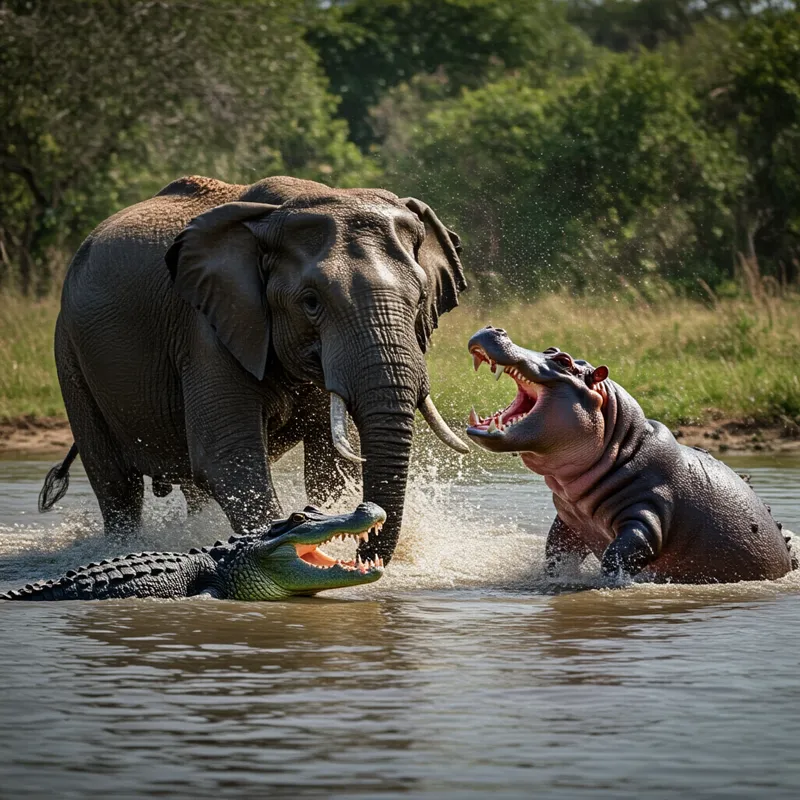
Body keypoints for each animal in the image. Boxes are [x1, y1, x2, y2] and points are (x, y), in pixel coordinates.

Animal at [40, 175, 468, 563]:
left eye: (420, 299)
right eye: (311, 302)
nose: (366, 553)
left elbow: (330, 463)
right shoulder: (207, 327)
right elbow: (229, 456)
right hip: (69, 352)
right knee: (115, 482)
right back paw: (122, 547)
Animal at [465, 326, 795, 584]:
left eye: (563, 361)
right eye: (551, 349)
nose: (495, 329)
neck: (620, 447)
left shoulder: (645, 516)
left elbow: (617, 557)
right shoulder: (568, 521)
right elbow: (555, 553)